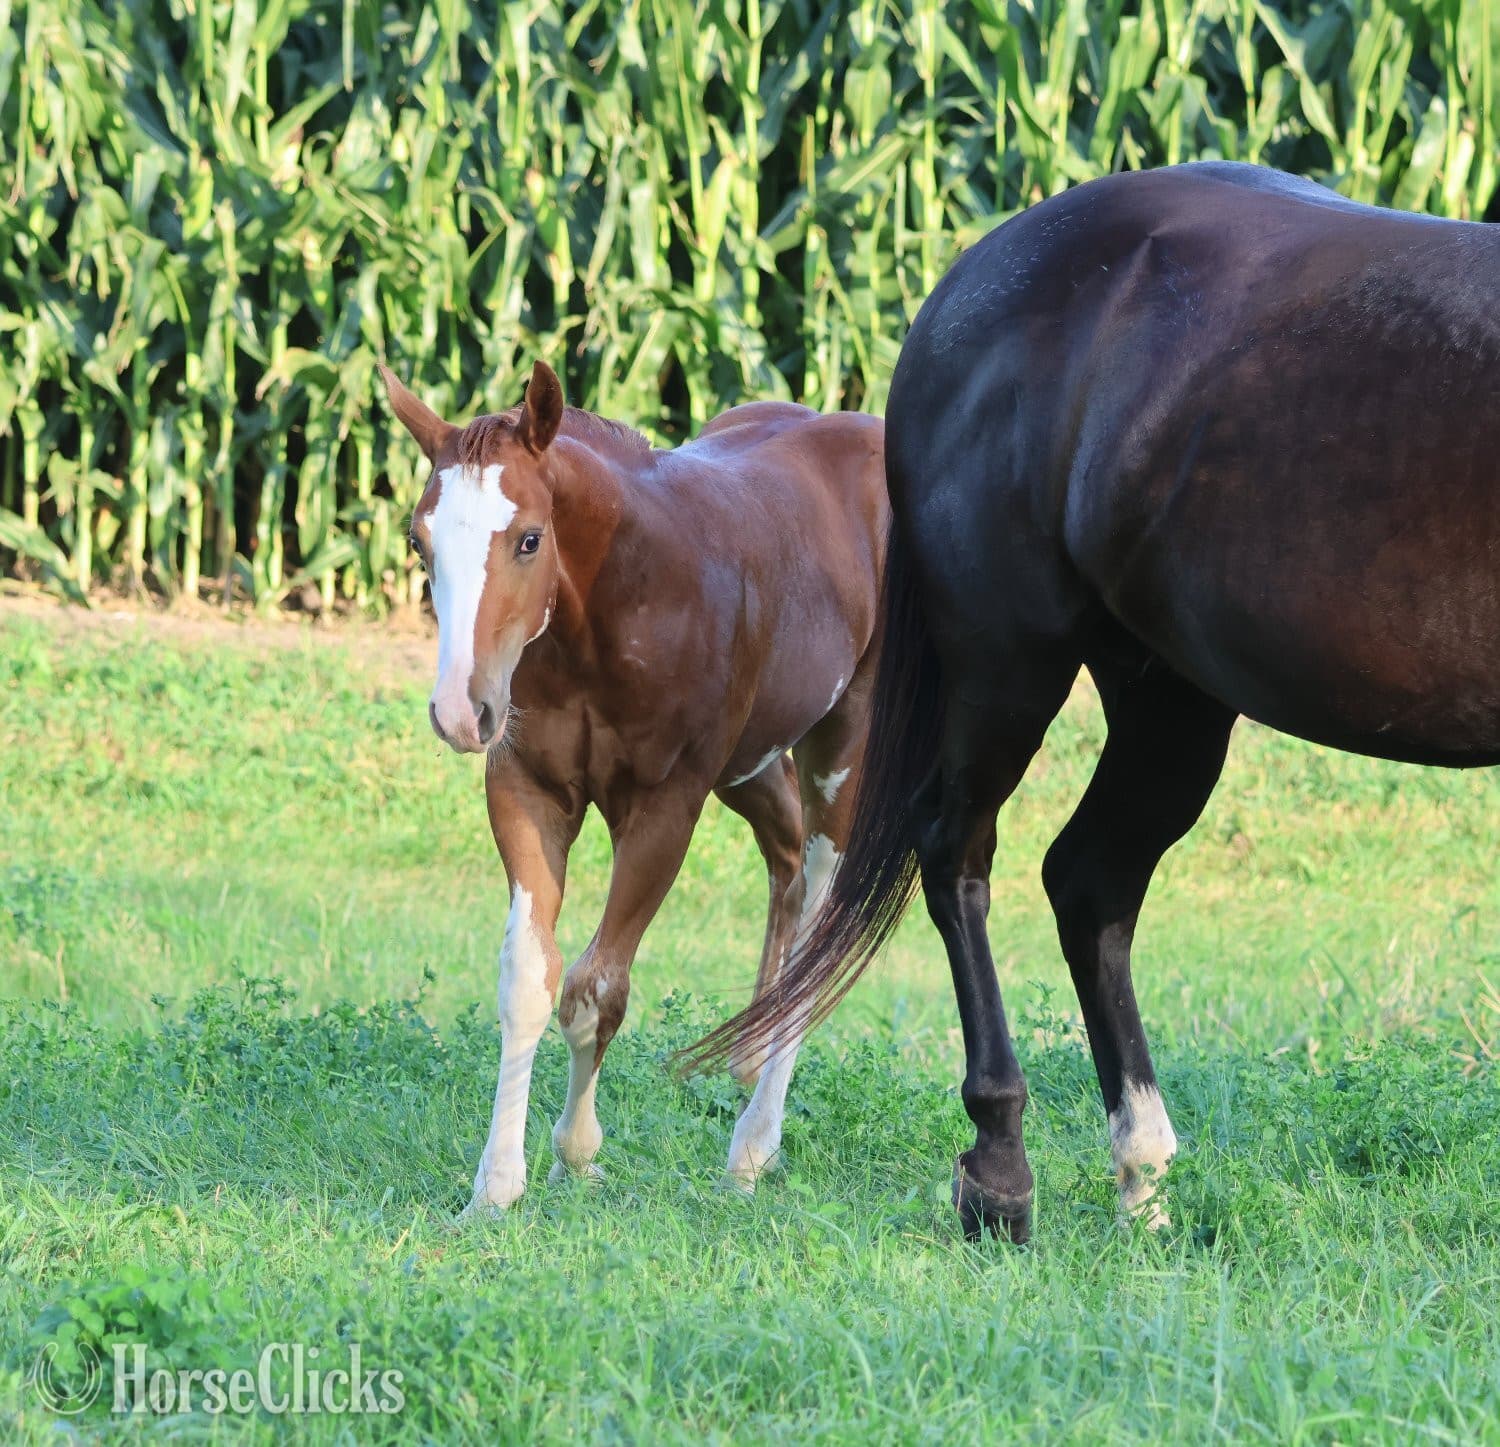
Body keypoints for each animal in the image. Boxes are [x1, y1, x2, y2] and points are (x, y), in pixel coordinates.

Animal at [379, 360, 886, 1211]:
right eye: (420, 541)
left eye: (529, 538)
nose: (459, 712)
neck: (622, 599)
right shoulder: (527, 790)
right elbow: (529, 977)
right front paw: (497, 1185)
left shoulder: (664, 809)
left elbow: (596, 989)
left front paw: (576, 1152)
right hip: (751, 761)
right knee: (784, 862)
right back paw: (748, 1055)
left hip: (840, 746)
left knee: (821, 908)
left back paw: (753, 1145)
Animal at [685, 161, 1500, 1242]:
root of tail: (967, 284)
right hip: (1009, 663)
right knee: (957, 851)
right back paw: (1000, 1171)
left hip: (1168, 697)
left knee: (1089, 880)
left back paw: (1140, 1176)